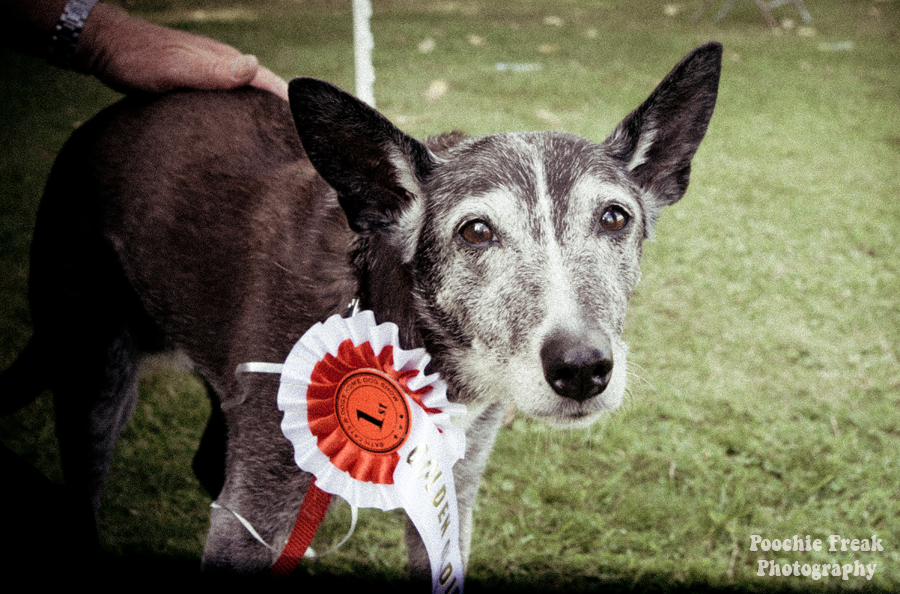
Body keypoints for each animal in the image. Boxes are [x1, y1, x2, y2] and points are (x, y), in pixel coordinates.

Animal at [0, 40, 716, 572]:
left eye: (615, 217)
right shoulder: (249, 512)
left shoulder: (451, 493)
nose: (581, 369)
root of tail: (93, 126)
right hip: (95, 374)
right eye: (475, 231)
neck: (399, 325)